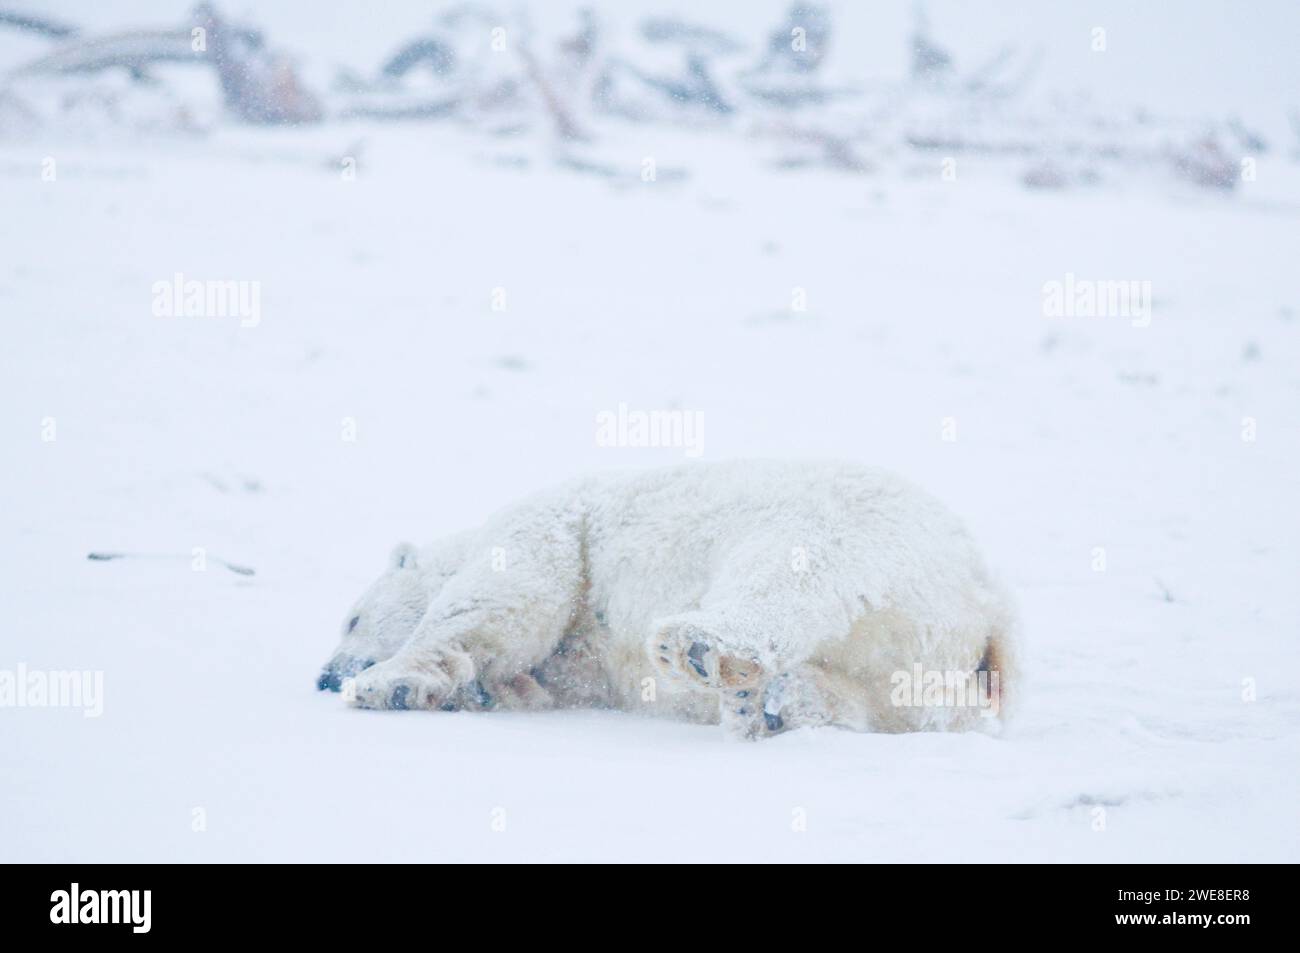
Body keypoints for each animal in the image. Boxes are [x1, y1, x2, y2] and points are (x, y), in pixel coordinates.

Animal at [314, 460, 1013, 738]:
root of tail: (989, 601)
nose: (324, 676)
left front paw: (386, 683)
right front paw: (477, 691)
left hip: (843, 529)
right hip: (924, 653)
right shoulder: (580, 666)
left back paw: (703, 650)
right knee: (892, 702)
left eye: (351, 618)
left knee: (781, 575)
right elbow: (536, 677)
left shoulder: (552, 524)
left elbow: (502, 600)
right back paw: (775, 703)